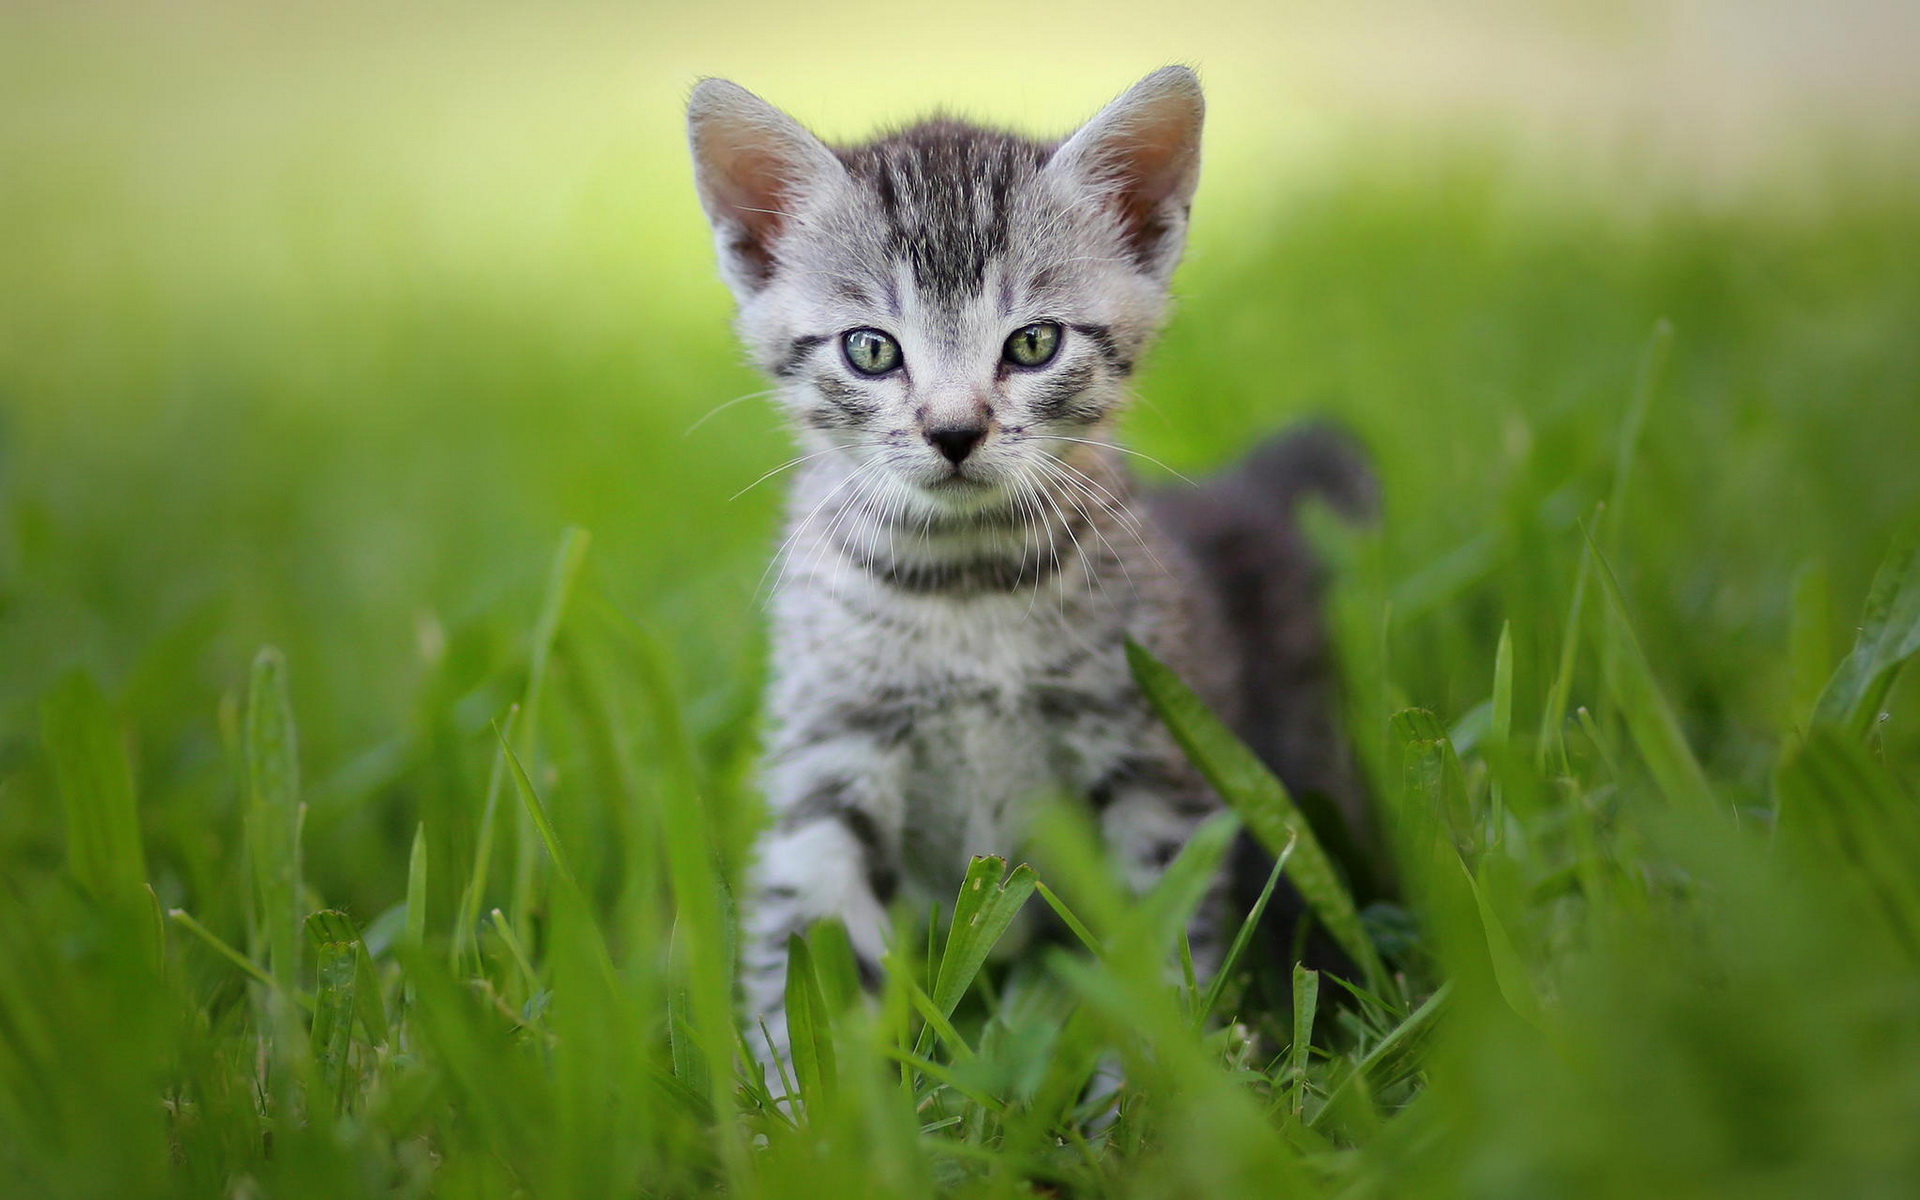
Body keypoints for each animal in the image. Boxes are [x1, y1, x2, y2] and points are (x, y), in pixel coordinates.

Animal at [683, 65, 1374, 1067]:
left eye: (1034, 343)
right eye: (871, 348)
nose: (953, 431)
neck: (963, 586)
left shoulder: (1150, 759)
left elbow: (1158, 949)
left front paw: (1143, 1094)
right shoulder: (829, 759)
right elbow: (808, 947)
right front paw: (806, 1102)